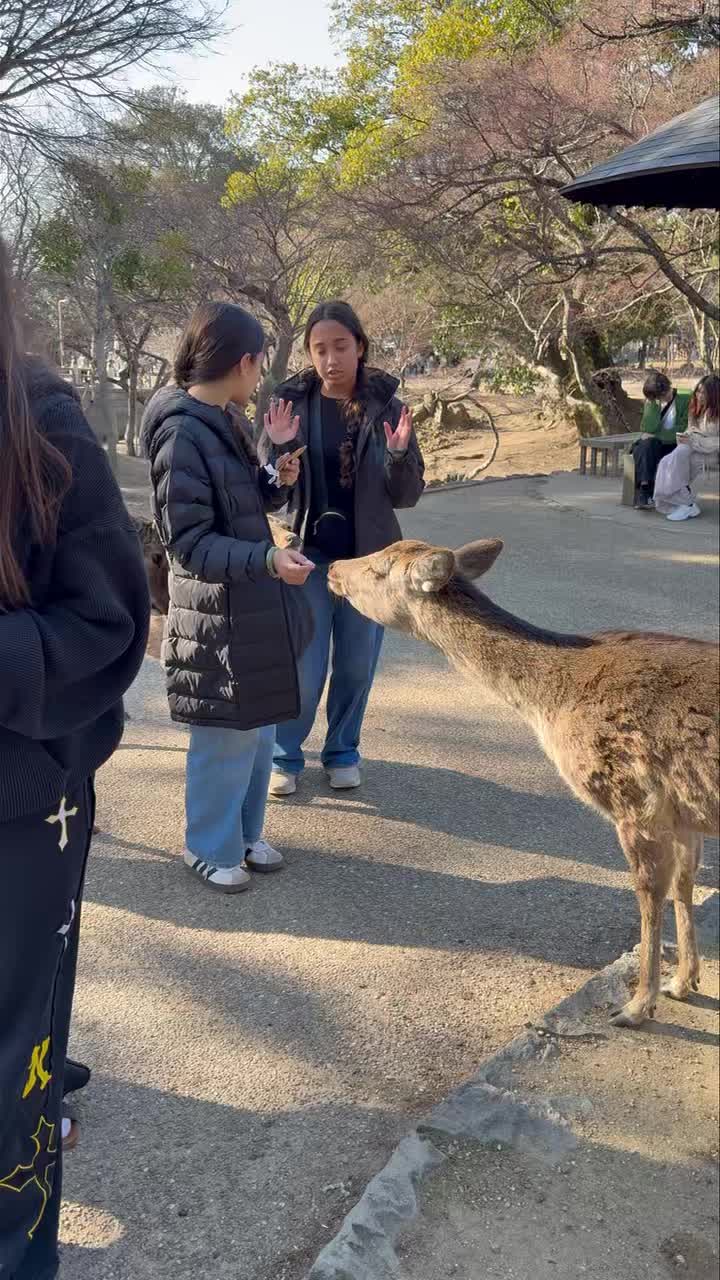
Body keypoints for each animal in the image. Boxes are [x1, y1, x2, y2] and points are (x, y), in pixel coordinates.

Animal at [328, 539, 719, 1030]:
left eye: (378, 568)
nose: (332, 567)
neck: (551, 703)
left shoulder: (634, 800)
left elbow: (650, 894)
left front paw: (636, 1006)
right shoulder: (684, 811)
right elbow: (685, 883)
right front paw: (682, 982)